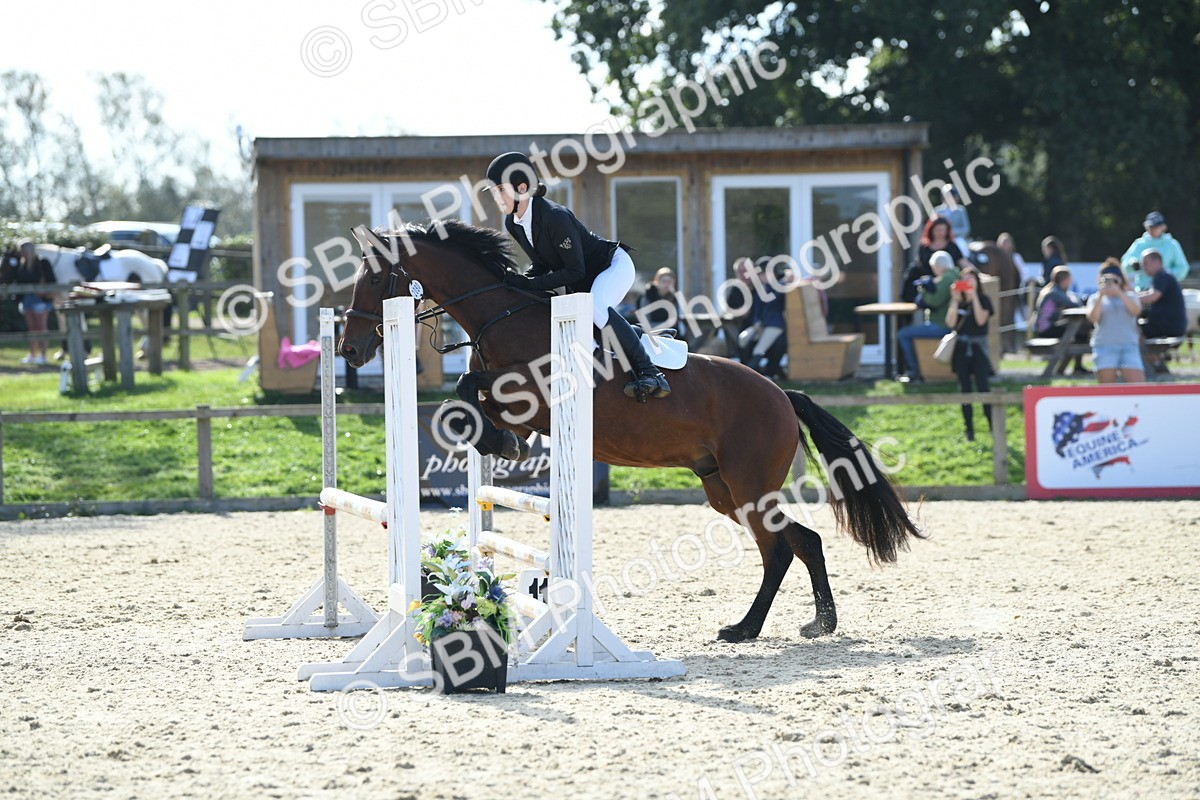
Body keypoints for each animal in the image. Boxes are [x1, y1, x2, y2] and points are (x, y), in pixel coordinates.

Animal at [339, 219, 924, 643]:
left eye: (376, 279)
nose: (350, 351)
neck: (501, 315)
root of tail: (782, 394)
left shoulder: (533, 396)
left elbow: (468, 384)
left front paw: (497, 440)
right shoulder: (518, 406)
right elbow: (468, 397)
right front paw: (497, 441)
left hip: (750, 484)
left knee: (780, 549)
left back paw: (744, 629)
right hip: (724, 488)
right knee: (801, 542)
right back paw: (816, 623)